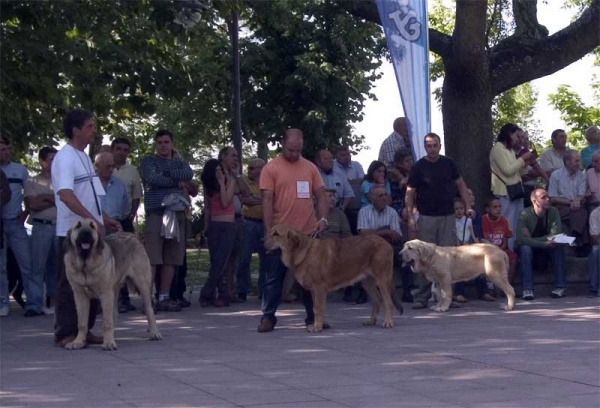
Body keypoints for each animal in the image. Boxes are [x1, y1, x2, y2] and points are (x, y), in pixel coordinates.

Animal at [63, 220, 162, 350]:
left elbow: (106, 321)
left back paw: (154, 333)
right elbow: (82, 322)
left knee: (149, 309)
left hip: (142, 284)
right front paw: (78, 342)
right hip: (114, 290)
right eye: (78, 226)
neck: (85, 266)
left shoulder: (105, 294)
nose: (86, 233)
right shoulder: (80, 296)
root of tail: (131, 235)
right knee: (114, 313)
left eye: (92, 226)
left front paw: (109, 343)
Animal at [264, 225, 400, 334]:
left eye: (276, 234)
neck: (304, 252)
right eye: (269, 232)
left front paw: (317, 327)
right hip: (367, 283)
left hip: (382, 280)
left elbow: (318, 308)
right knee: (377, 300)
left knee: (388, 302)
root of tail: (385, 242)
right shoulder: (313, 291)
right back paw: (371, 321)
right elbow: (315, 309)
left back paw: (388, 322)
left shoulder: (319, 288)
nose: (261, 241)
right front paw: (317, 325)